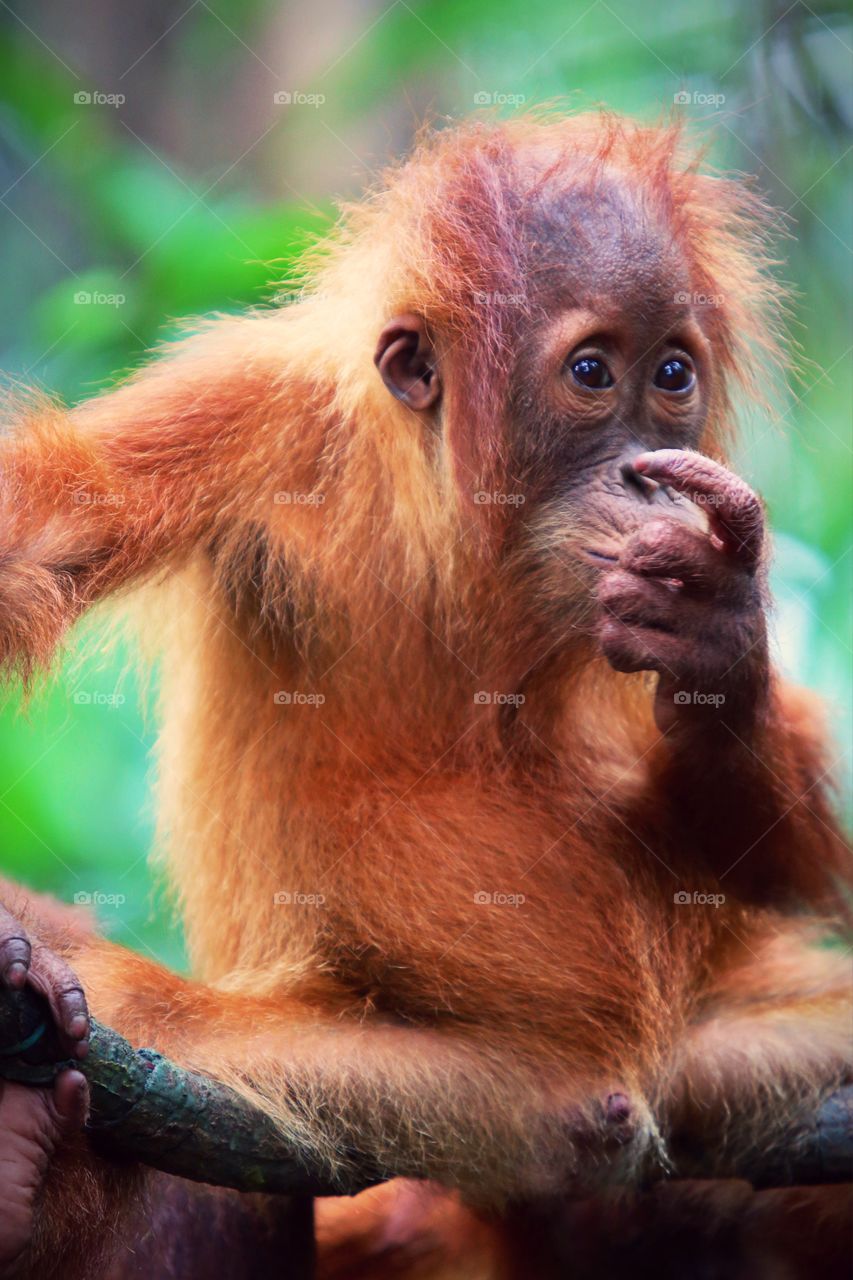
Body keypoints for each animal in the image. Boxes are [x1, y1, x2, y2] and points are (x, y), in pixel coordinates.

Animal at [0, 111, 849, 1278]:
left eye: (673, 372)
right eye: (593, 370)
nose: (643, 470)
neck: (458, 520)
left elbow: (763, 854)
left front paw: (718, 632)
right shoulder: (246, 412)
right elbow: (39, 537)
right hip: (470, 1102)